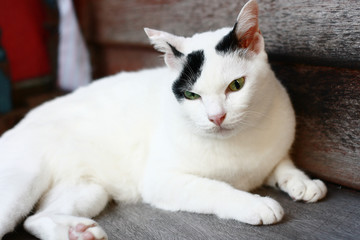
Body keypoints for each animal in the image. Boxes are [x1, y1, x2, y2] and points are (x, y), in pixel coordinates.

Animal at [0, 0, 326, 239]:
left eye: (236, 85)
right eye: (192, 96)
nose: (217, 117)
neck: (239, 145)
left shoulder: (271, 154)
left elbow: (281, 163)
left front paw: (302, 181)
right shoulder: (162, 181)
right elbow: (215, 188)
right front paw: (254, 203)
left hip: (89, 189)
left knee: (35, 219)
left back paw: (77, 231)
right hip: (23, 183)